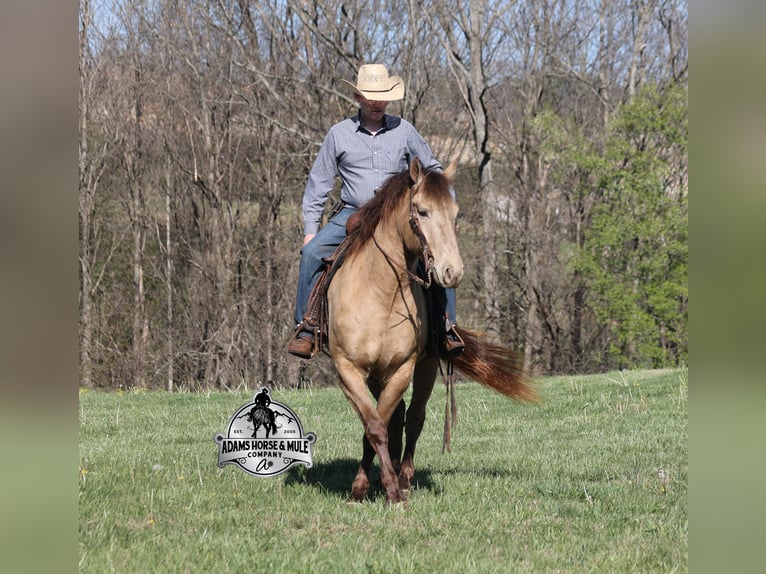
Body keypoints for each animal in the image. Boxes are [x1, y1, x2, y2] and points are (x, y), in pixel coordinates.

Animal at [326, 158, 537, 505]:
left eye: (455, 214)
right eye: (422, 211)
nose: (452, 272)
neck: (380, 294)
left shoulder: (403, 368)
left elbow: (383, 423)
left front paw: (391, 488)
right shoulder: (349, 370)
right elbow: (374, 426)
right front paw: (363, 488)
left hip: (424, 366)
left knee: (413, 418)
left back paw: (405, 477)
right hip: (376, 375)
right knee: (395, 419)